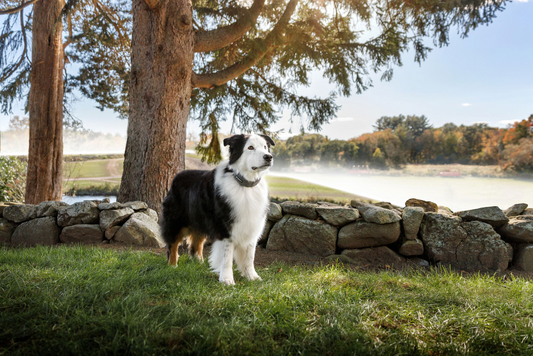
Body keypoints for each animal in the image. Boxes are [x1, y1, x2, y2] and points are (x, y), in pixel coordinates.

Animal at [159, 132, 274, 286]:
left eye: (265, 147)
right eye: (250, 147)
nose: (268, 157)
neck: (245, 185)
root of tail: (177, 176)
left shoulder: (251, 225)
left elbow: (249, 256)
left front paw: (252, 277)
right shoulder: (225, 228)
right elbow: (227, 257)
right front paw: (227, 279)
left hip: (200, 219)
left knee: (196, 242)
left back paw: (199, 263)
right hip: (176, 220)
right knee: (173, 243)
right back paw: (172, 265)